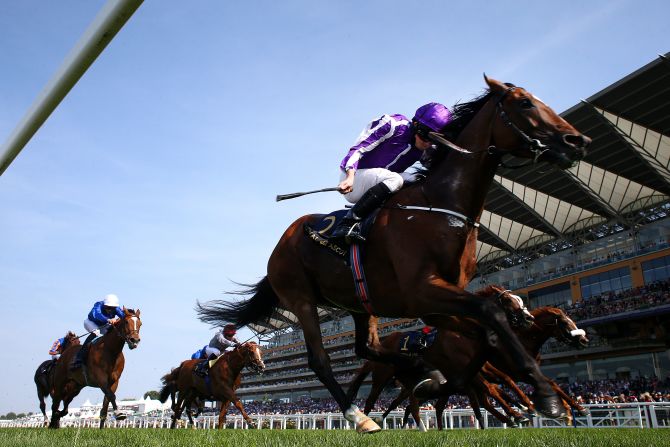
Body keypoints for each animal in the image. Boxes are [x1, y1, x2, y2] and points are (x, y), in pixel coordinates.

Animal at [197, 75, 592, 432]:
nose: (578, 140)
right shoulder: (423, 291)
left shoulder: (436, 301)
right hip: (302, 299)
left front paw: (439, 380)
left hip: (360, 305)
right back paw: (359, 416)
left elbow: (485, 336)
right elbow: (490, 315)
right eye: (525, 103)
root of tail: (283, 241)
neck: (441, 206)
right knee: (321, 360)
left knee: (367, 349)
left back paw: (416, 372)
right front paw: (546, 398)